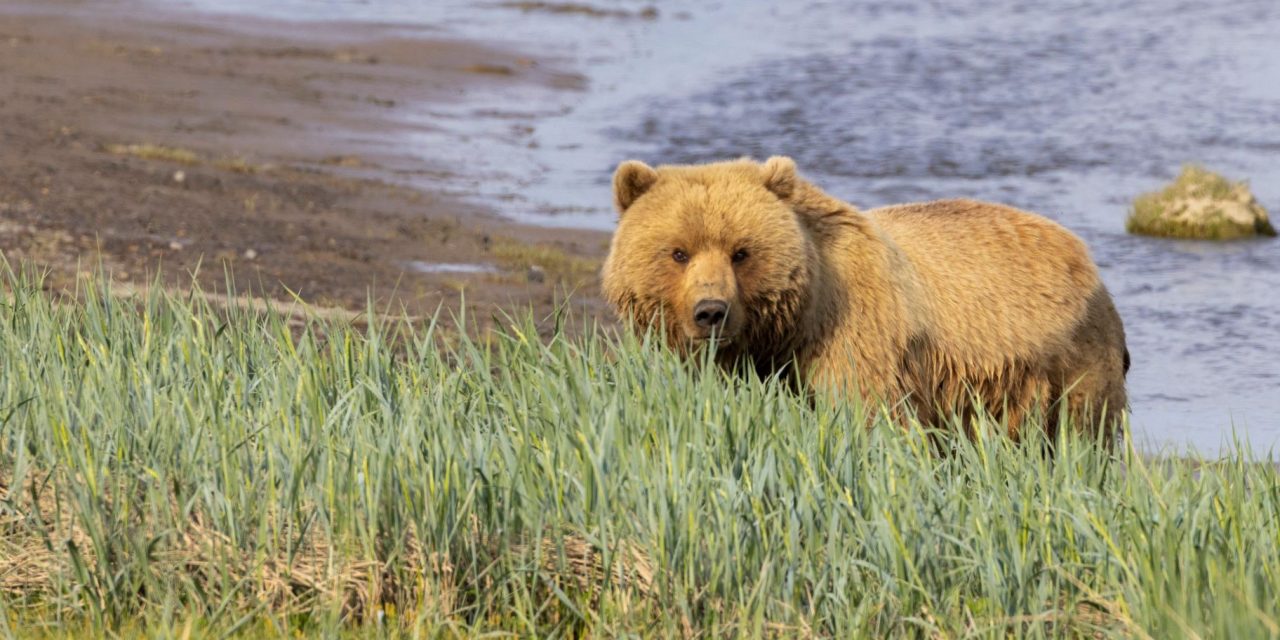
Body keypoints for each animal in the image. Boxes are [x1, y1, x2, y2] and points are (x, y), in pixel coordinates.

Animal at [601, 156, 1129, 441]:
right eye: (678, 252)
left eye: (741, 252)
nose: (711, 311)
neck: (795, 322)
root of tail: (1087, 257)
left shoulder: (858, 339)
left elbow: (870, 419)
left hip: (1067, 362)